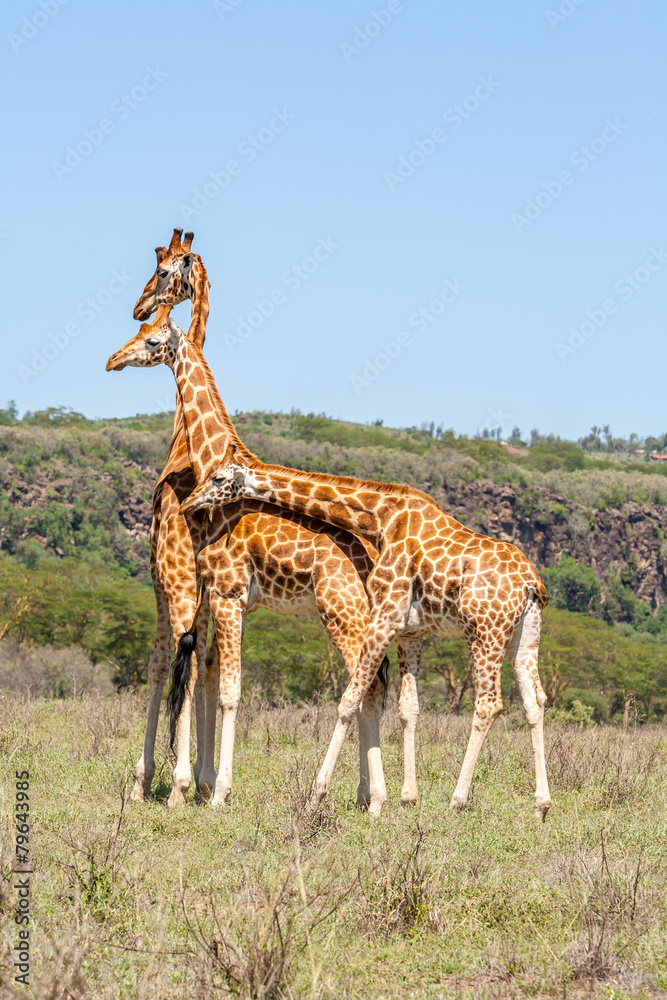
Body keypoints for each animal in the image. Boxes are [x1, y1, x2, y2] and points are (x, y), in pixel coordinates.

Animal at [106, 307, 407, 814]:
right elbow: (213, 680)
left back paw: (364, 797)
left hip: (340, 613)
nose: (112, 360)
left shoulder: (226, 594)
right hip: (360, 619)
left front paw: (218, 793)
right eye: (137, 331)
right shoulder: (227, 600)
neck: (211, 457)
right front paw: (206, 787)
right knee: (373, 690)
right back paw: (369, 797)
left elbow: (229, 692)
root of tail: (373, 559)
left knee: (365, 689)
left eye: (150, 340)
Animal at [180, 460, 552, 821]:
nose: (188, 504)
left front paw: (316, 797)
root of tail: (532, 584)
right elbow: (407, 707)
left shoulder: (386, 614)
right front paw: (406, 798)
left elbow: (348, 700)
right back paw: (541, 806)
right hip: (524, 637)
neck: (381, 519)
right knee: (536, 701)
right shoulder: (410, 632)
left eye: (217, 479)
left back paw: (457, 800)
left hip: (484, 632)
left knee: (488, 703)